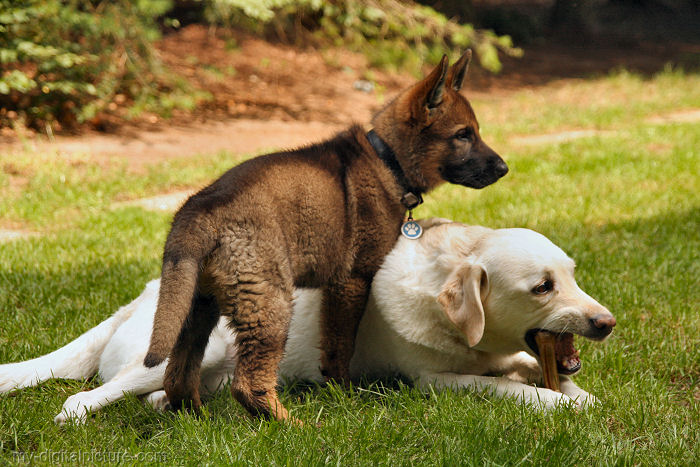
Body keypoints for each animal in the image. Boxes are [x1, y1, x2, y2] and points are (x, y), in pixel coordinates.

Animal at [0, 219, 612, 424]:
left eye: (573, 275)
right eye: (542, 287)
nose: (606, 323)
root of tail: (139, 298)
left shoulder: (522, 352)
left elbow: (539, 368)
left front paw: (572, 389)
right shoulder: (432, 381)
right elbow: (510, 389)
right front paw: (559, 401)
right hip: (204, 345)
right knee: (86, 396)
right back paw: (78, 414)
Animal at [142, 50, 506, 420]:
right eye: (463, 135)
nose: (504, 168)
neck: (387, 161)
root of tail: (200, 209)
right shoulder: (351, 280)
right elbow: (340, 345)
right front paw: (343, 393)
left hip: (197, 304)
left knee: (178, 375)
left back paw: (196, 418)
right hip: (268, 303)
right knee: (247, 383)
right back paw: (291, 424)